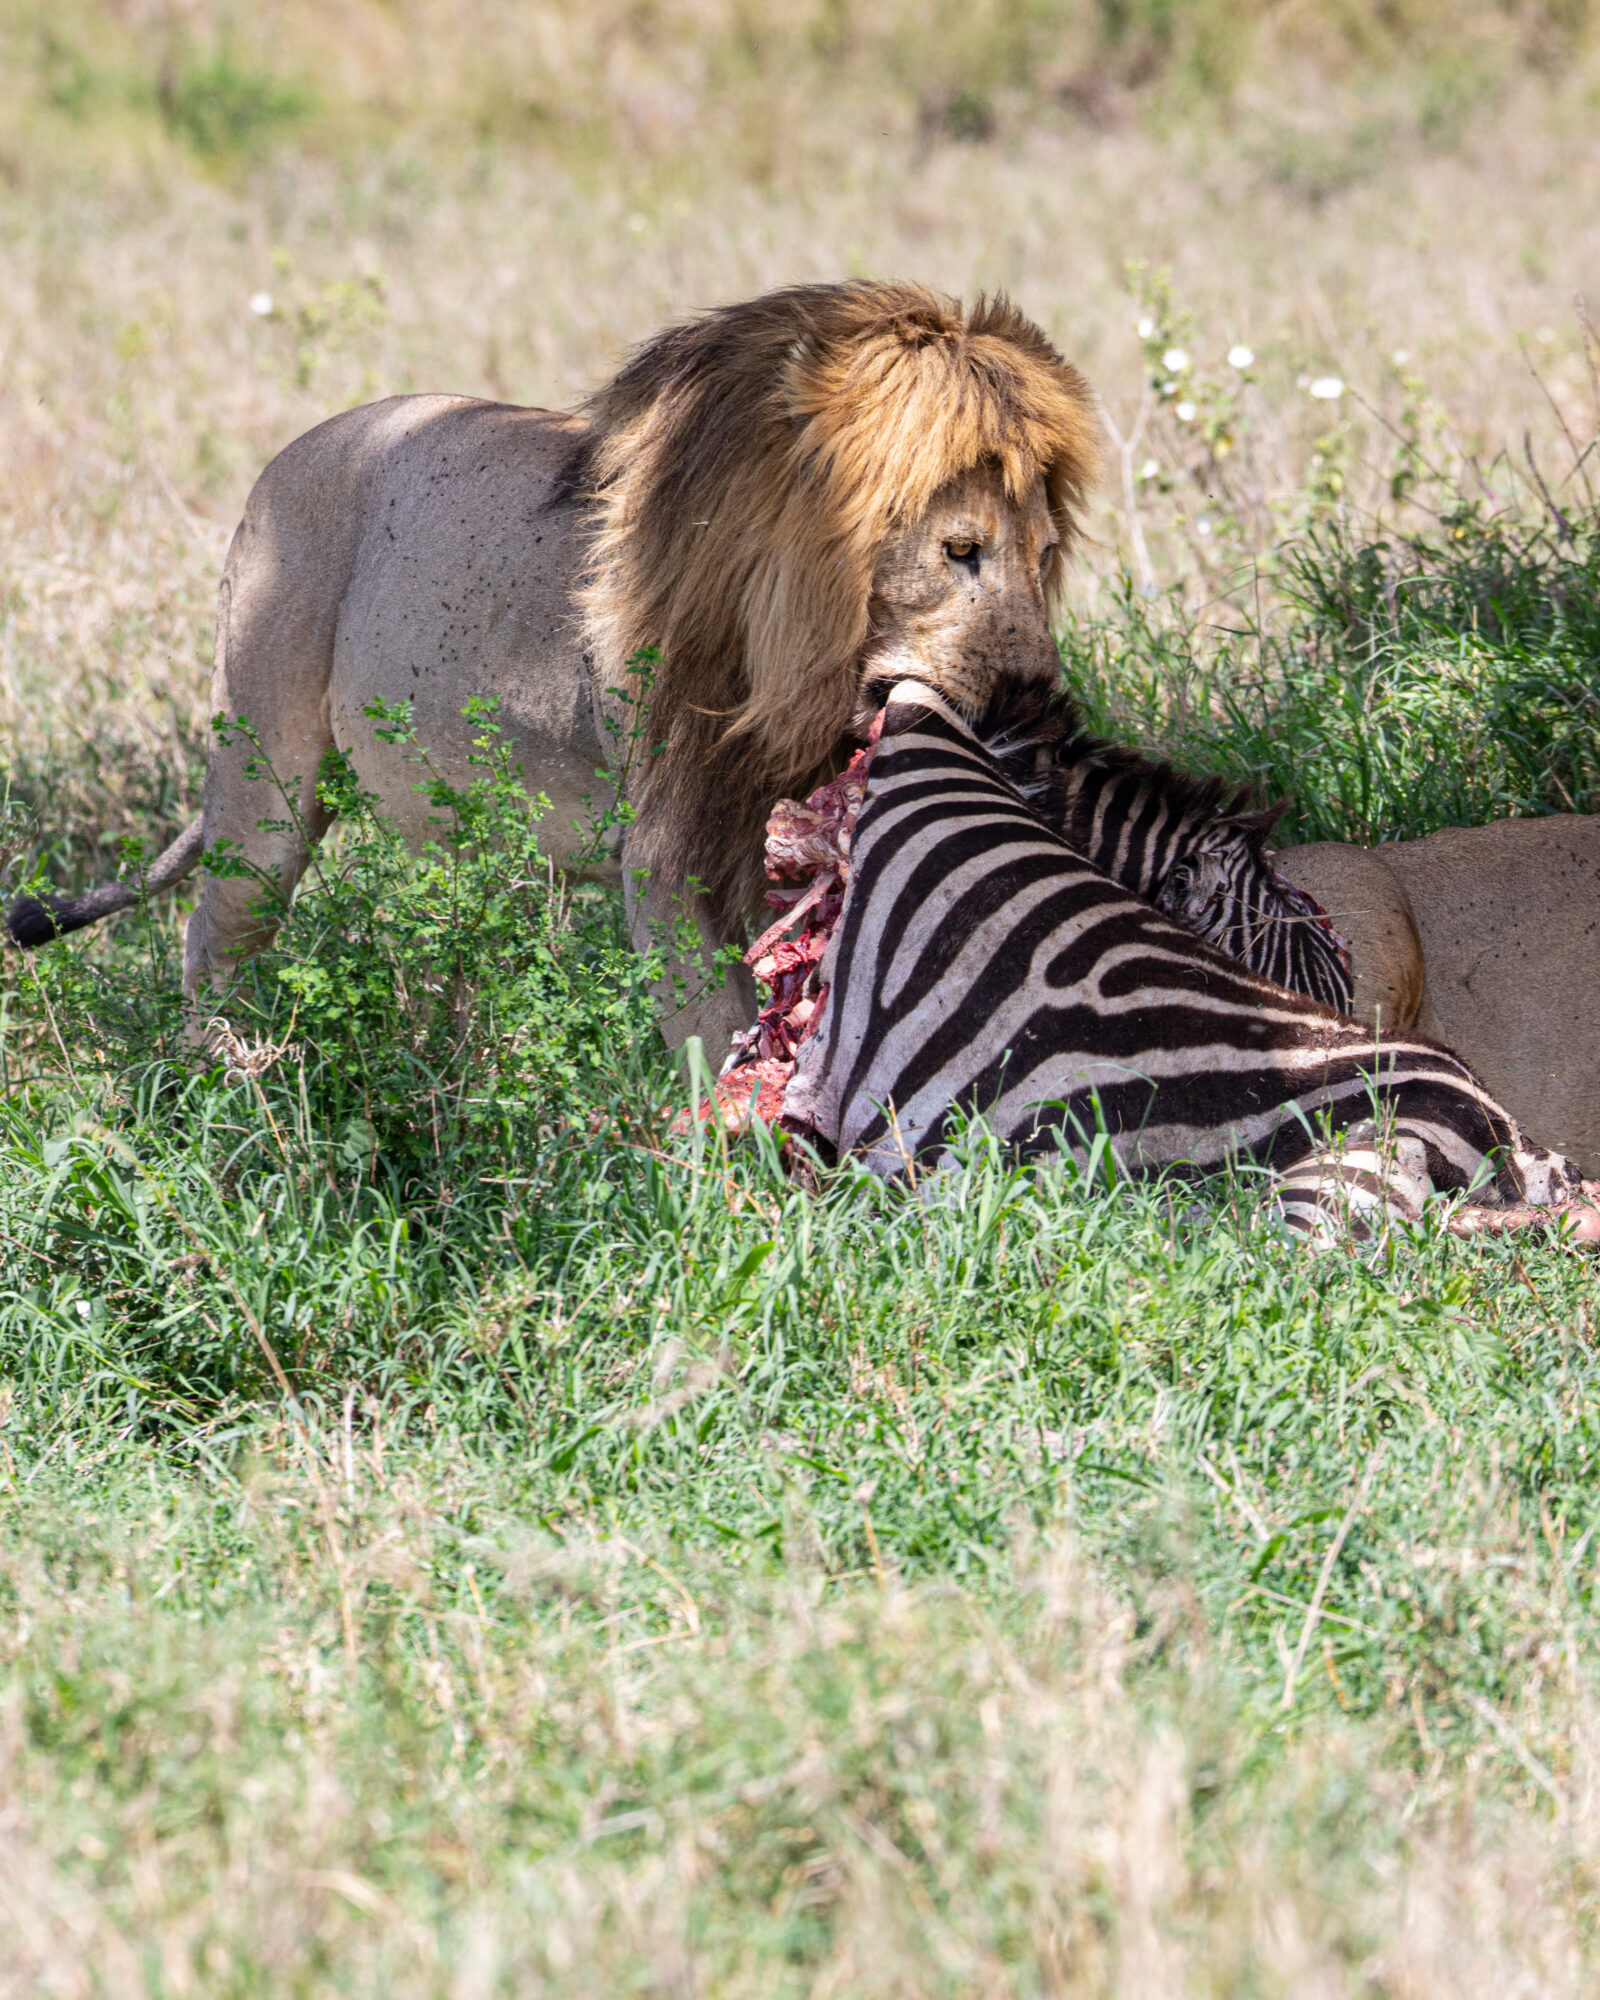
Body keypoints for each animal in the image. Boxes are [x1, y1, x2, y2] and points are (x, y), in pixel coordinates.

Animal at [9, 282, 1104, 1048]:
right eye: (960, 550)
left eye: (1045, 555)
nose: (1037, 701)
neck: (791, 680)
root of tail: (286, 457)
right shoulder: (667, 851)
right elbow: (715, 1029)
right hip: (263, 779)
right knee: (215, 938)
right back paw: (233, 1096)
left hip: (455, 829)